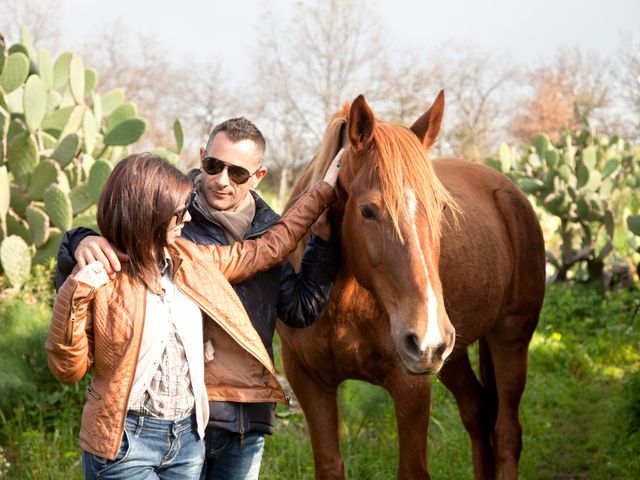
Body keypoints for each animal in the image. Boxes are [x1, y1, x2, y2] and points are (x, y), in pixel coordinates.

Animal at [276, 91, 544, 480]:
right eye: (368, 211)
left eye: (442, 208)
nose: (427, 336)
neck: (340, 304)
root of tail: (509, 190)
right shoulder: (309, 382)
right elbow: (329, 465)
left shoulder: (411, 387)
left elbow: (413, 468)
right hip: (452, 355)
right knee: (478, 413)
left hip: (507, 339)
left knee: (507, 434)